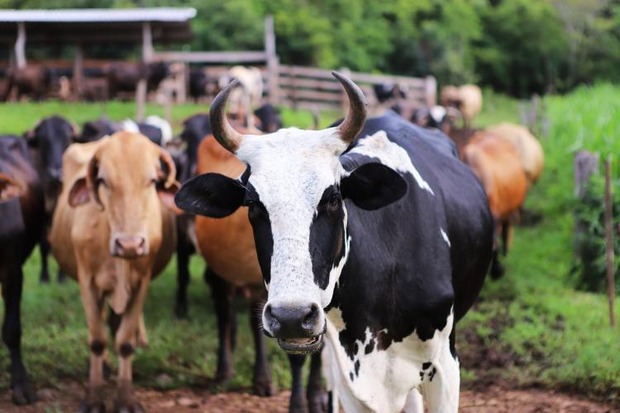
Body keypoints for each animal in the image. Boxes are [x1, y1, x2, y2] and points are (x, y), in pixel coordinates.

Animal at [49, 131, 178, 408]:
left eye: (152, 180)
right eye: (103, 181)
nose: (130, 244)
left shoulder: (141, 284)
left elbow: (125, 341)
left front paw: (125, 397)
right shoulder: (87, 283)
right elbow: (97, 340)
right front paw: (95, 396)